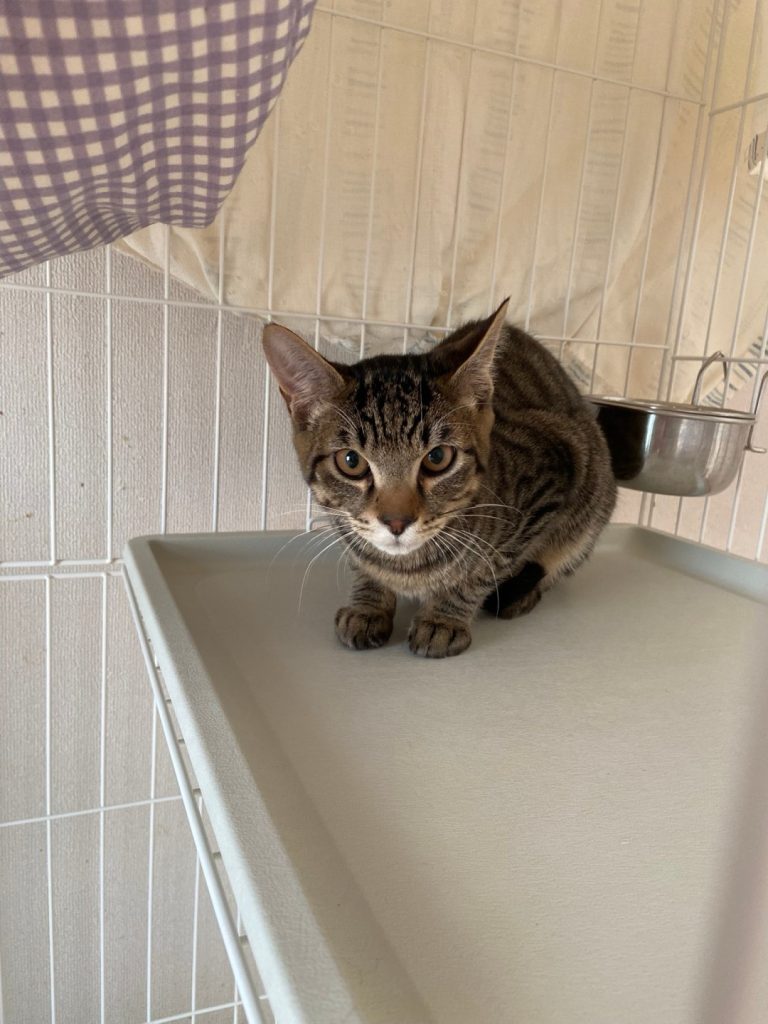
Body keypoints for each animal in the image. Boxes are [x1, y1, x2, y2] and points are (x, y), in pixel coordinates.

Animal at [262, 300, 616, 658]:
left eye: (437, 458)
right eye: (351, 461)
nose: (396, 522)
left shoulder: (556, 469)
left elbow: (486, 567)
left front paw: (443, 618)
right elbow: (363, 562)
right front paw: (368, 604)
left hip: (594, 485)